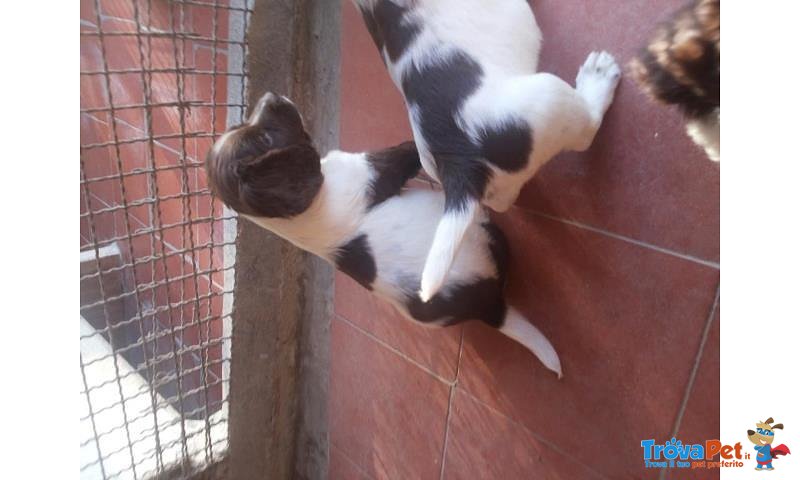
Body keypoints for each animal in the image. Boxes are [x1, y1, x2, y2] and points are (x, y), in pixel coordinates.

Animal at [206, 93, 564, 378]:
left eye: (246, 125)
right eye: (266, 138)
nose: (270, 95)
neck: (291, 215)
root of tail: (490, 309)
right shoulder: (376, 171)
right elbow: (408, 152)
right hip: (489, 239)